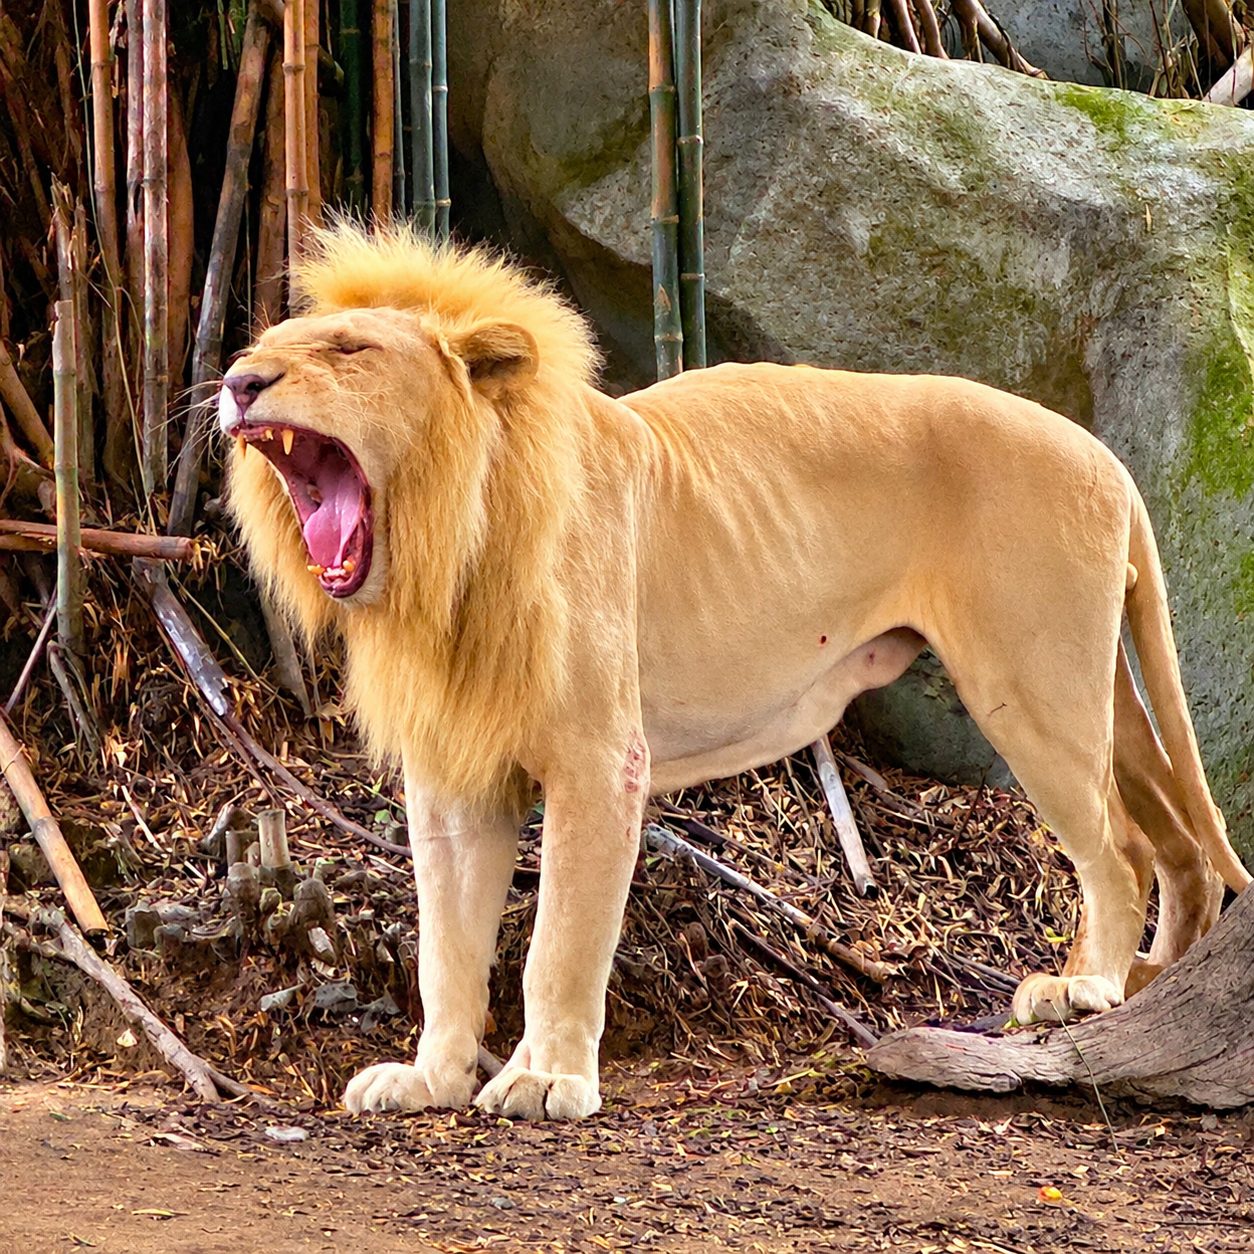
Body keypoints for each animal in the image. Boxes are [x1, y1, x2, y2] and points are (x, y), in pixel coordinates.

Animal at [219, 222, 1250, 1121]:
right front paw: (430, 1080)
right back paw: (1148, 984)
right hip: (1093, 684)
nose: (236, 381)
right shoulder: (451, 778)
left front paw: (546, 1081)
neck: (446, 562)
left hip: (1032, 686)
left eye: (348, 347)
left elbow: (558, 940)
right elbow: (447, 944)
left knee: (1120, 850)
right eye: (263, 346)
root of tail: (1106, 456)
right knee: (1181, 848)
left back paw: (1085, 988)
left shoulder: (599, 761)